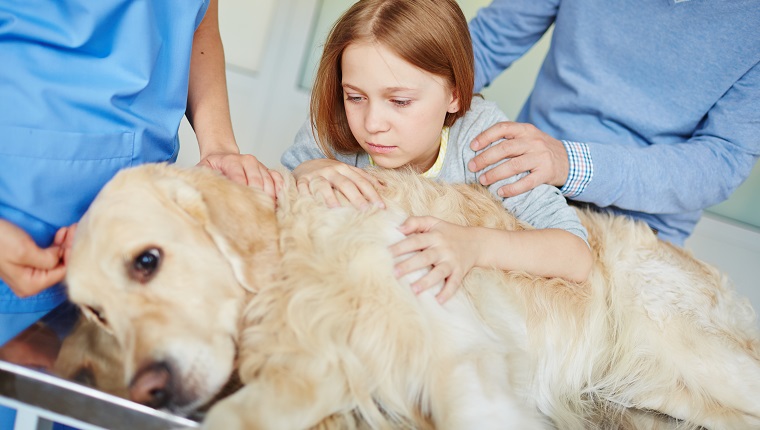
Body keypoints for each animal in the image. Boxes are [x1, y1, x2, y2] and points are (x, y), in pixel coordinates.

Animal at [65, 163, 760, 428]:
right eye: (95, 311)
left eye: (147, 261)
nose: (148, 390)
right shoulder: (325, 363)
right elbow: (239, 415)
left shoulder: (461, 360)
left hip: (688, 342)